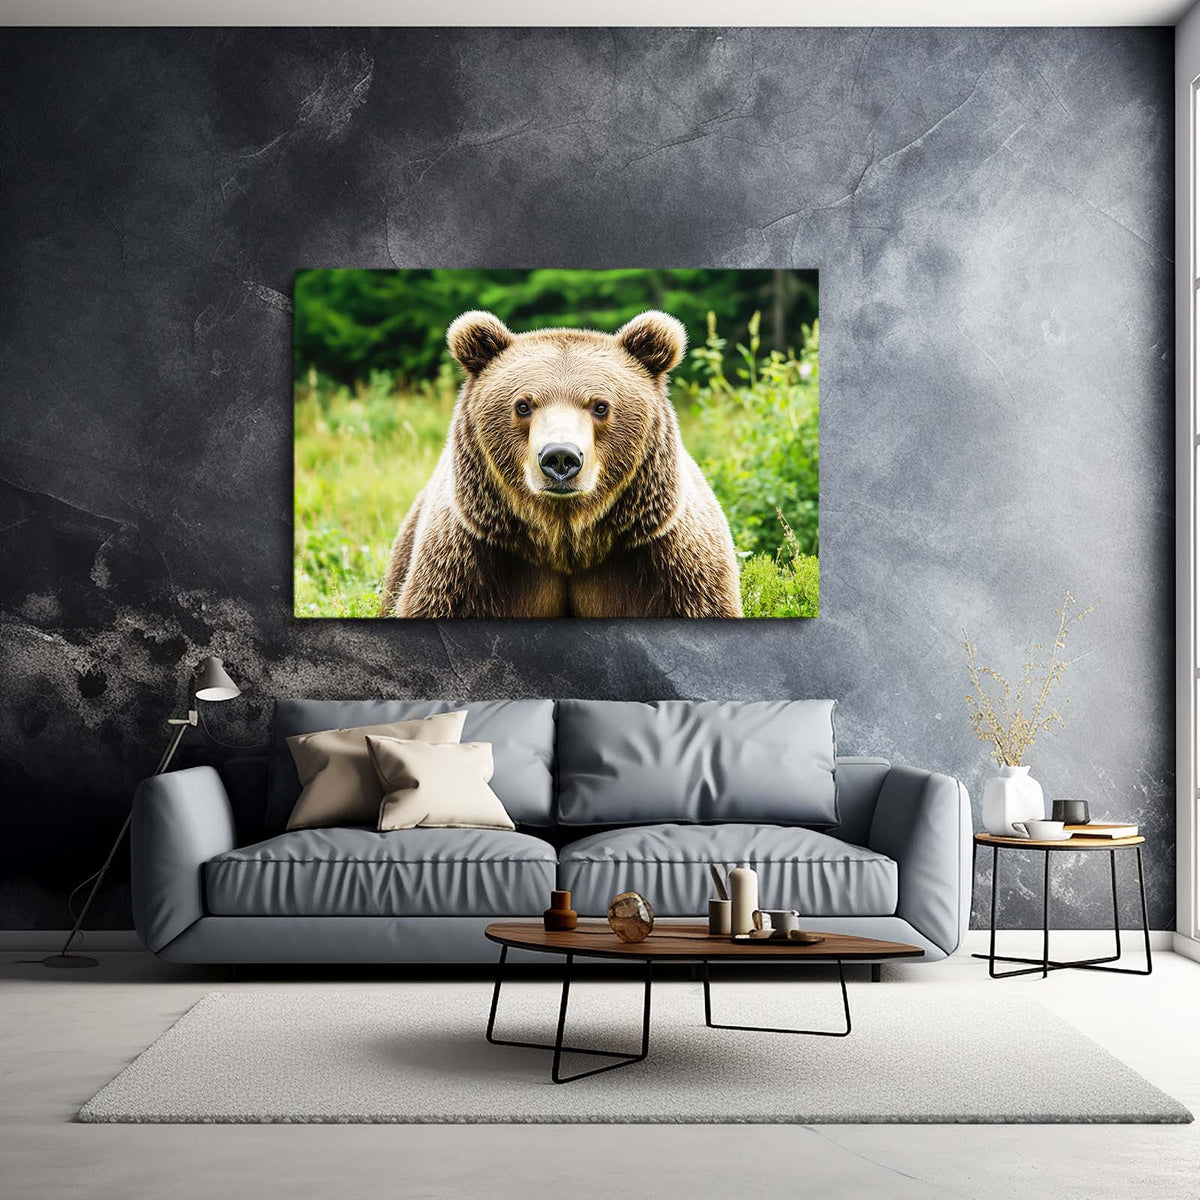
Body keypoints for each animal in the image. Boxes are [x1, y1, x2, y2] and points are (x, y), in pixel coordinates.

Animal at [380, 309, 743, 619]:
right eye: (523, 405)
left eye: (600, 406)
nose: (560, 457)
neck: (564, 540)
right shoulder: (469, 561)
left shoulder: (665, 561)